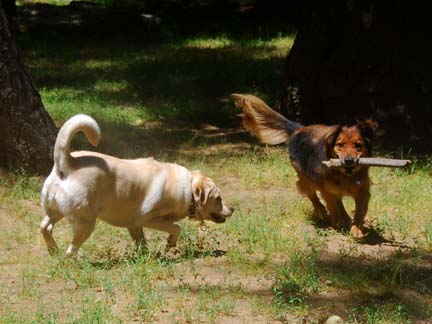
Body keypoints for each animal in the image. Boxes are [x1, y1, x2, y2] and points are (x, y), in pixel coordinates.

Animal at [40, 114, 235, 256]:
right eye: (218, 198)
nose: (232, 209)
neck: (188, 189)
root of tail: (67, 163)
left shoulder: (134, 225)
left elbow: (141, 242)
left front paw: (146, 258)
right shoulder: (147, 219)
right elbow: (176, 228)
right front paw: (169, 245)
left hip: (55, 212)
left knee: (44, 227)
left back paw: (53, 249)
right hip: (86, 223)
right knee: (70, 249)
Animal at [233, 93, 378, 238]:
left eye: (358, 145)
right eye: (340, 144)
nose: (349, 160)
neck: (345, 175)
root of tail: (299, 129)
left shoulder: (362, 192)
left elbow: (359, 211)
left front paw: (357, 228)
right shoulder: (326, 191)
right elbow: (333, 208)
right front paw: (337, 225)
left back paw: (345, 217)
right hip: (306, 177)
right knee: (311, 194)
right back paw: (321, 210)